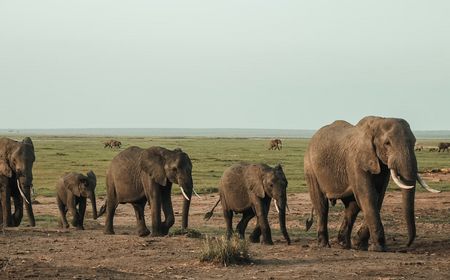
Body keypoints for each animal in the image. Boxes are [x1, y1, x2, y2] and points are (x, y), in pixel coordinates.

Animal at [302, 116, 440, 252]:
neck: (378, 122)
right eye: (387, 143)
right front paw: (379, 248)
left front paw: (360, 245)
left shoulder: (381, 166)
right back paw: (324, 245)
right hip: (310, 167)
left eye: (414, 142)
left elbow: (378, 198)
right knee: (321, 205)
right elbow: (368, 196)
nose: (407, 245)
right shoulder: (356, 161)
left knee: (352, 207)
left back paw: (344, 244)